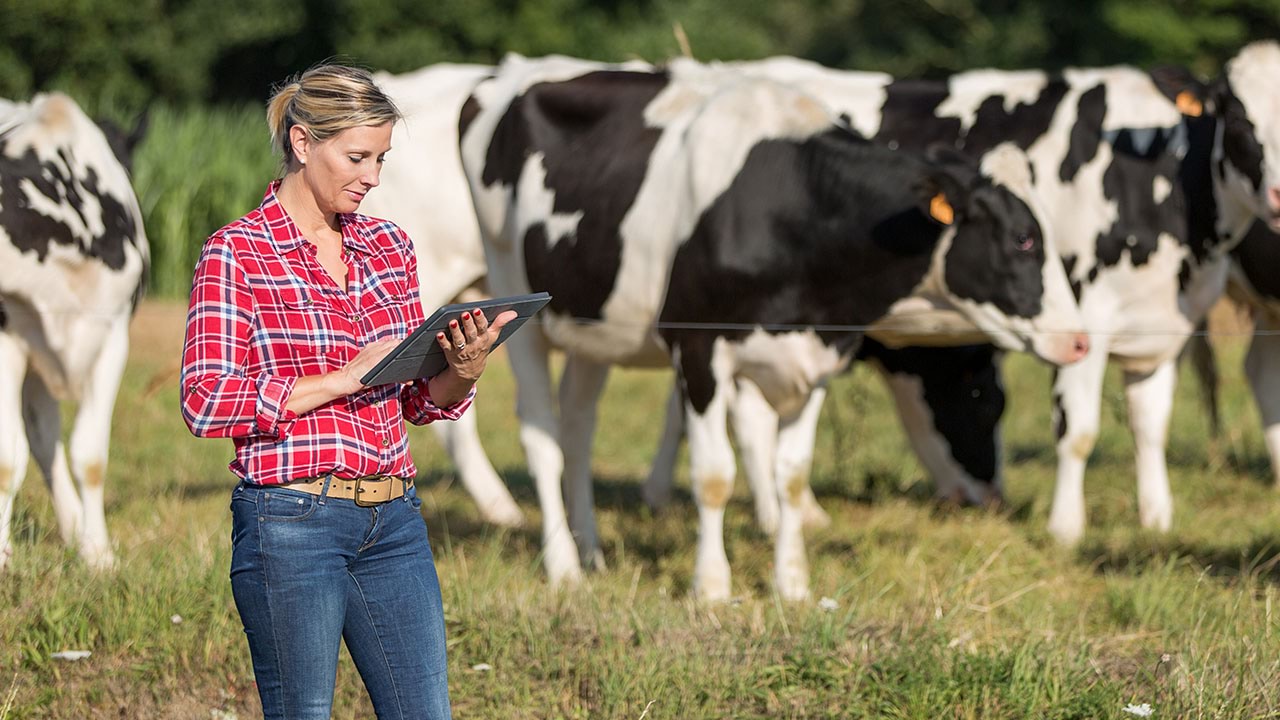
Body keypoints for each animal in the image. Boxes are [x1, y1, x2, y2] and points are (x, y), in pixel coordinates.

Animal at [0, 92, 149, 568]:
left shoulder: (112, 333)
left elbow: (90, 456)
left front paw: (98, 553)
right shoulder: (10, 340)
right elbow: (9, 457)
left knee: (45, 438)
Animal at [455, 54, 1085, 599]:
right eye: (1022, 239)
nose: (1079, 339)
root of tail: (513, 72)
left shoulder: (821, 354)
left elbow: (792, 476)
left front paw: (792, 583)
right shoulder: (698, 346)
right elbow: (713, 474)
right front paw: (711, 587)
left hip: (595, 326)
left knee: (578, 427)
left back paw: (590, 551)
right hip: (514, 299)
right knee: (542, 434)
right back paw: (563, 567)